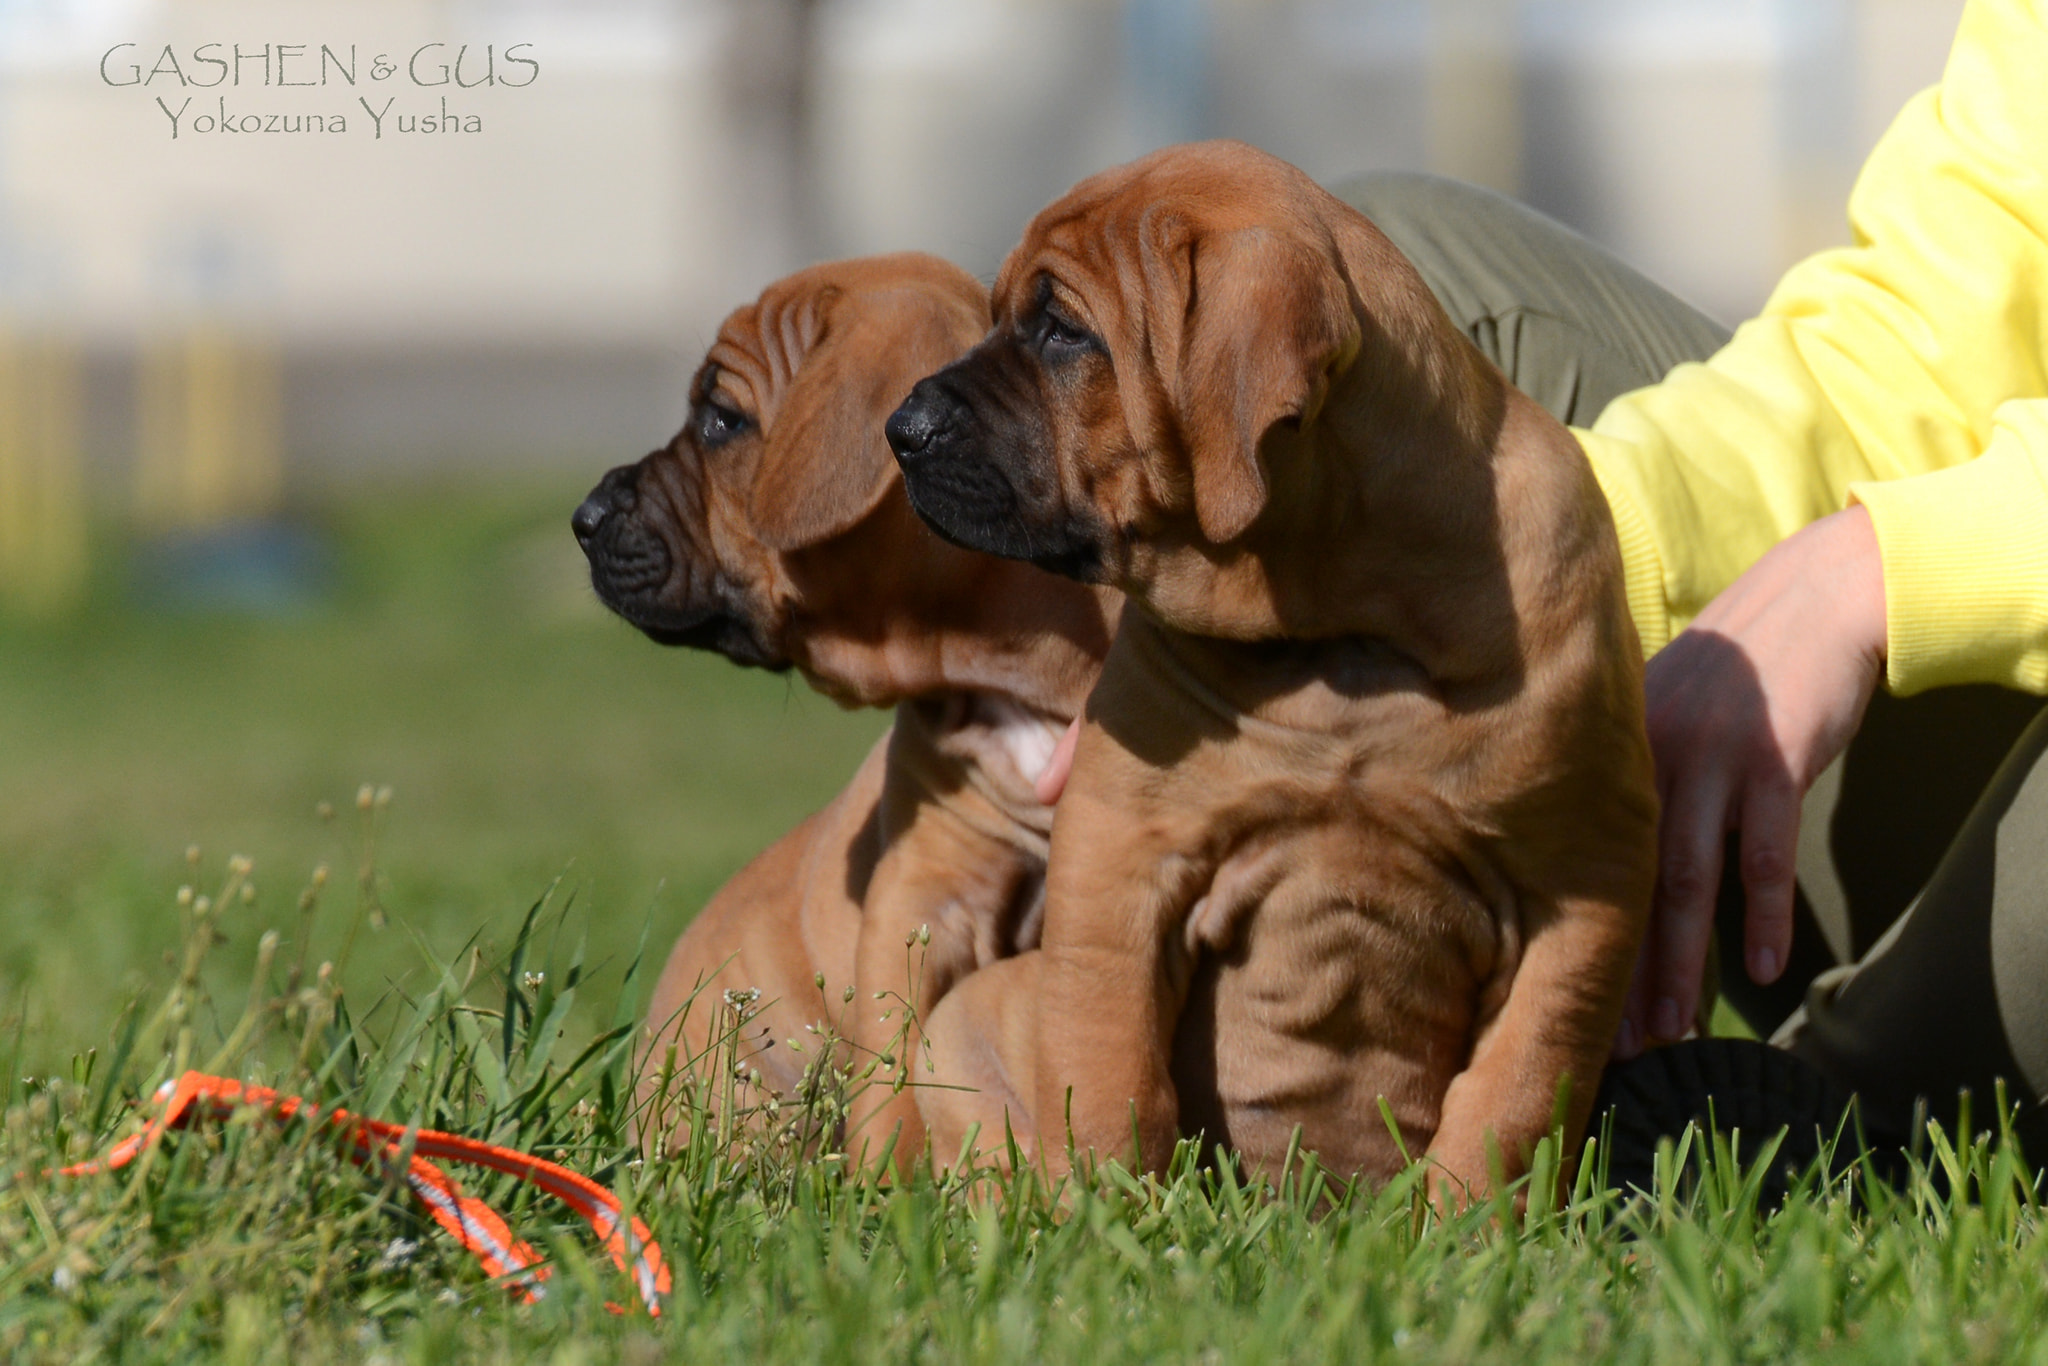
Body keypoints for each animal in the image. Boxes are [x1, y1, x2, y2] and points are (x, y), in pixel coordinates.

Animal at [888, 144, 1654, 1204]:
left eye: (1063, 330)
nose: (901, 428)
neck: (1343, 629)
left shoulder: (1583, 889)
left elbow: (1514, 1095)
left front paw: (1467, 1228)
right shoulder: (1121, 854)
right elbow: (1106, 1061)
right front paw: (1104, 1213)